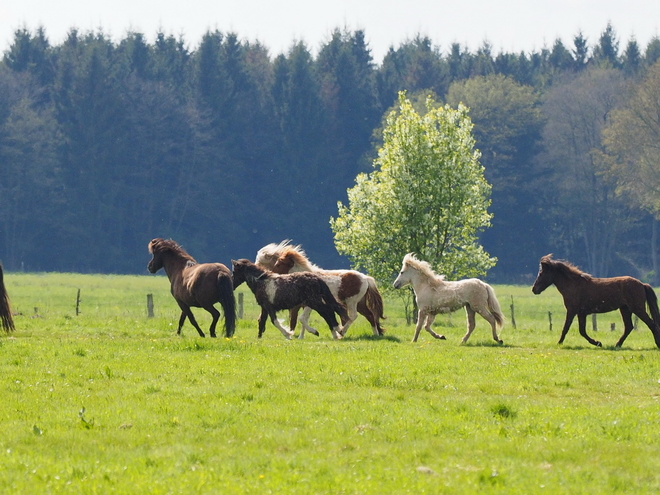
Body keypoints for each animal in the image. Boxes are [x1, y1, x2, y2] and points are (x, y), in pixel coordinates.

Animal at [254, 242, 386, 340]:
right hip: (359, 303)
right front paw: (301, 337)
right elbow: (303, 320)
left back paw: (342, 332)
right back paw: (375, 335)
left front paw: (315, 332)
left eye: (280, 264)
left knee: (353, 316)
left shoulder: (310, 304)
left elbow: (302, 319)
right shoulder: (306, 305)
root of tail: (365, 278)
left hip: (351, 302)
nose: (270, 274)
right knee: (370, 315)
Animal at [532, 256, 660, 348]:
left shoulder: (572, 311)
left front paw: (559, 343)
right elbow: (582, 331)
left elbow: (566, 327)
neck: (573, 285)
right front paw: (598, 343)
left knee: (651, 324)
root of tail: (642, 284)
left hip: (637, 309)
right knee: (629, 327)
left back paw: (657, 344)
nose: (534, 289)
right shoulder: (581, 313)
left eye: (541, 273)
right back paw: (617, 345)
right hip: (625, 309)